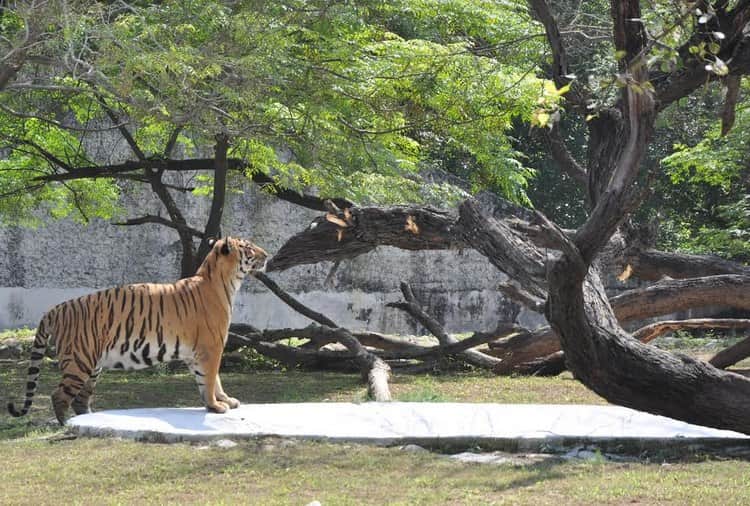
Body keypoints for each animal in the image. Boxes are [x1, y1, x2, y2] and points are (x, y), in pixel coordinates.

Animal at [7, 236, 269, 425]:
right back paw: (67, 425)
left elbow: (212, 380)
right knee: (60, 396)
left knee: (80, 398)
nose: (266, 254)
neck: (226, 282)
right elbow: (211, 378)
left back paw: (89, 418)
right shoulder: (211, 347)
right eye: (248, 247)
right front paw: (215, 406)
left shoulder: (198, 352)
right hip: (79, 360)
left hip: (92, 364)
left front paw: (223, 400)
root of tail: (55, 309)